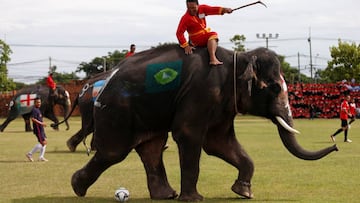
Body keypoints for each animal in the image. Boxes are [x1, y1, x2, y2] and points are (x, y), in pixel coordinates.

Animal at [71, 43, 338, 201]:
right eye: (273, 88)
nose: (335, 145)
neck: (238, 57)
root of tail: (104, 81)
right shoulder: (203, 91)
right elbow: (189, 135)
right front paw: (195, 199)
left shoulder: (222, 102)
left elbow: (219, 142)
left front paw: (244, 192)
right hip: (118, 111)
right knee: (113, 152)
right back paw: (77, 187)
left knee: (151, 148)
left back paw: (166, 195)